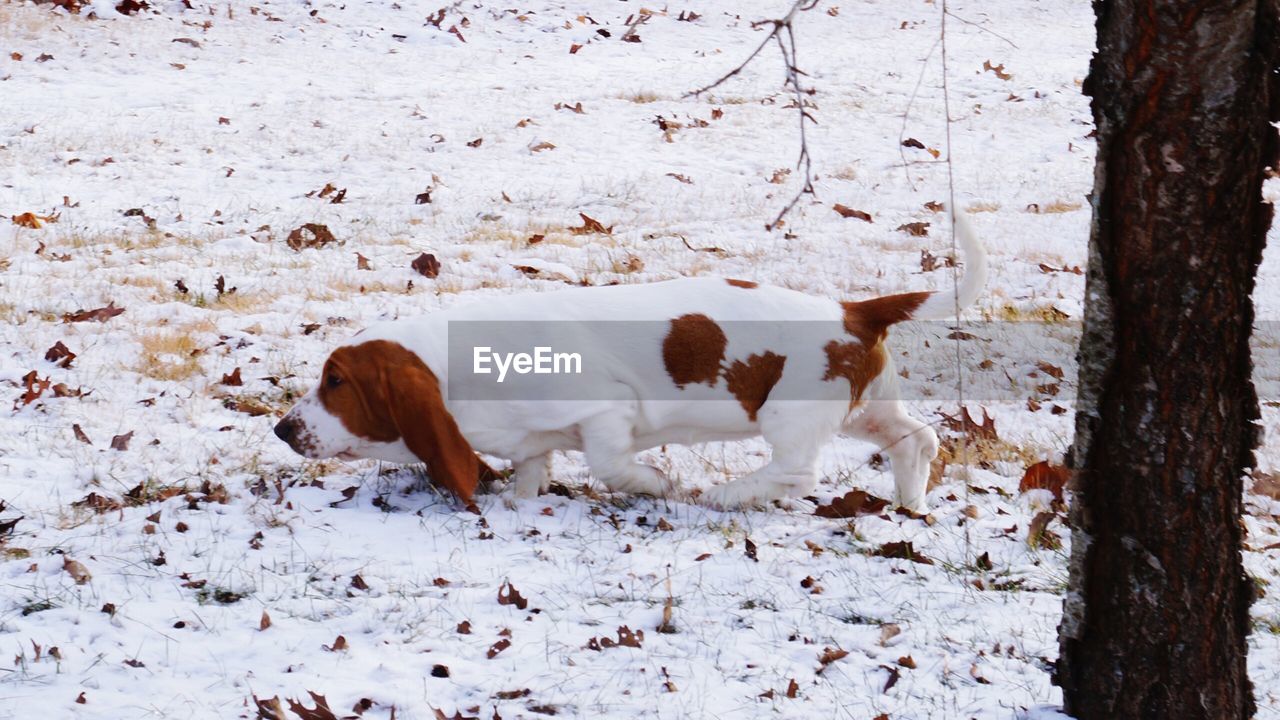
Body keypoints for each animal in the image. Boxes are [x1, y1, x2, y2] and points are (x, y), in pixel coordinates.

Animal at [275, 212, 983, 509]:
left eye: (335, 380)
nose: (281, 429)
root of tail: (854, 311)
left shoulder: (606, 411)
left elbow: (613, 466)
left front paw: (658, 486)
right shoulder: (531, 441)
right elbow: (530, 470)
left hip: (789, 415)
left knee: (795, 474)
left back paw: (725, 495)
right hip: (867, 408)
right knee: (917, 439)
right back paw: (911, 502)